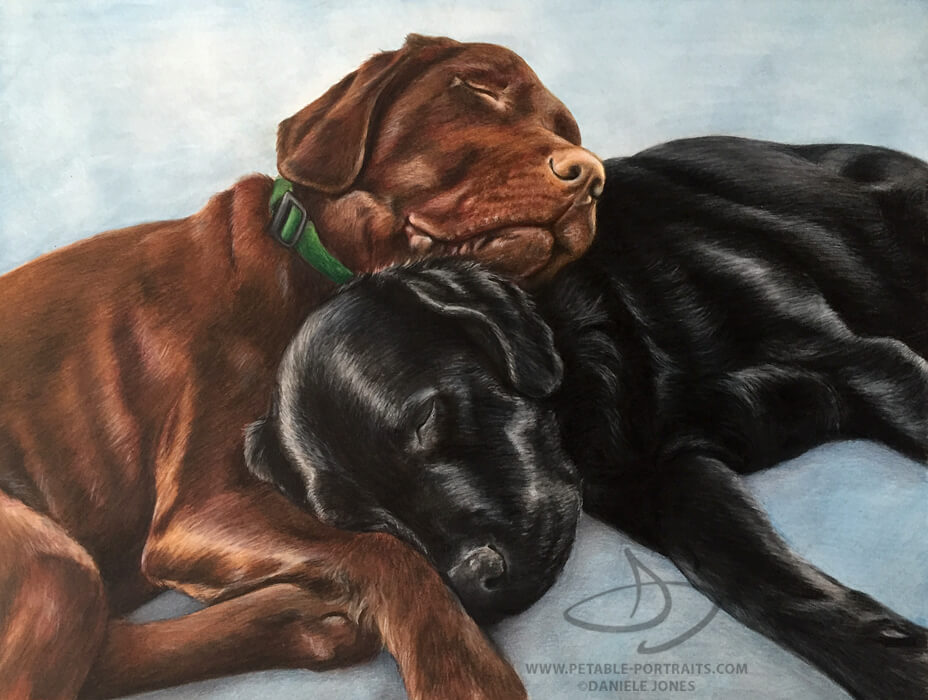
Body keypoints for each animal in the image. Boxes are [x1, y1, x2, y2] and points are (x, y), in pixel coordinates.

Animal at [0, 34, 604, 699]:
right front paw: (463, 672)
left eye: (563, 127)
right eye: (476, 87)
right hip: (51, 563)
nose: (590, 175)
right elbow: (385, 551)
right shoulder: (198, 511)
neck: (305, 266)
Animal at [247, 137, 928, 699]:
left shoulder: (861, 359)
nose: (471, 584)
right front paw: (896, 661)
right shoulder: (663, 484)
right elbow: (753, 580)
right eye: (361, 523)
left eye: (427, 417)